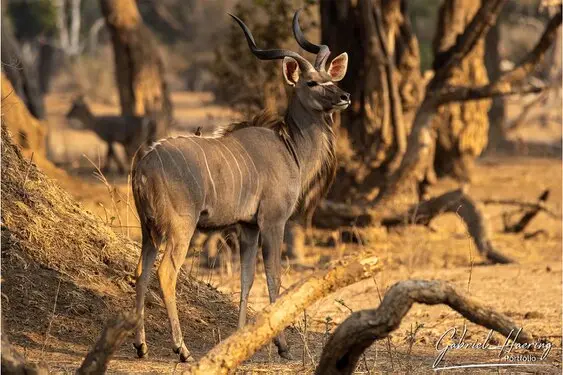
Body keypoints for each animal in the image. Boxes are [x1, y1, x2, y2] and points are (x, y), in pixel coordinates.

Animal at [133, 11, 352, 364]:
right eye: (311, 82)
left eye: (329, 78)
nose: (344, 97)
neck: (289, 148)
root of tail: (145, 161)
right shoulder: (272, 222)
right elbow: (274, 277)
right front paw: (282, 346)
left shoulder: (248, 228)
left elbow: (247, 279)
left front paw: (239, 340)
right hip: (180, 228)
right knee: (165, 272)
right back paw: (182, 350)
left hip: (148, 229)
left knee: (140, 271)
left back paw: (140, 345)